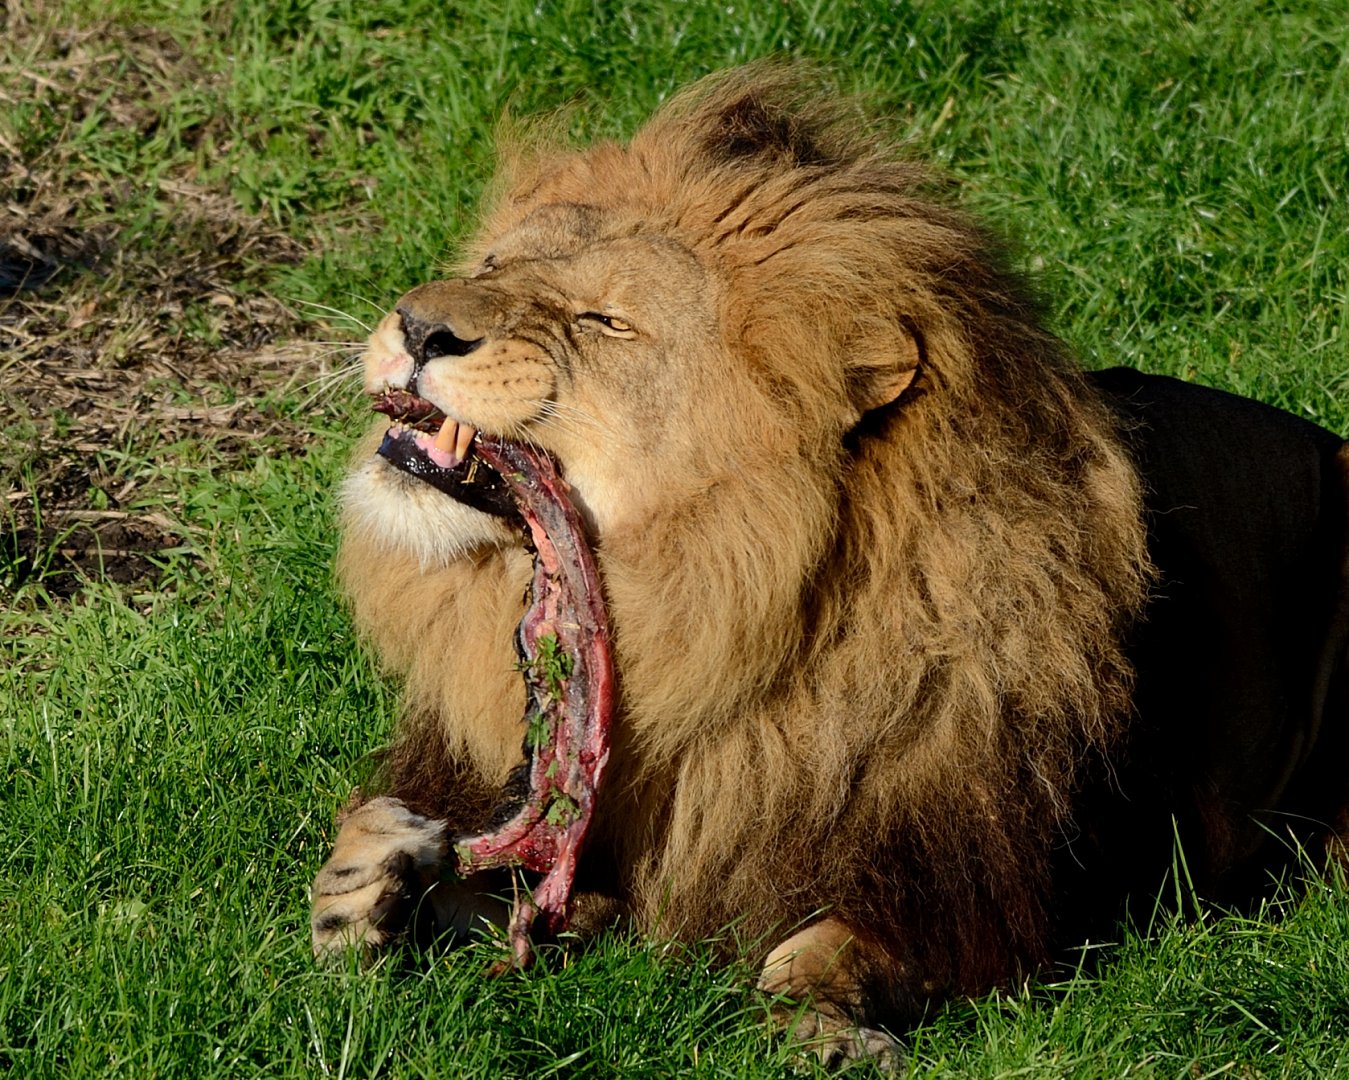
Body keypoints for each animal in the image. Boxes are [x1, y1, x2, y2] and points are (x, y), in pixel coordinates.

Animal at [310, 67, 1349, 1063]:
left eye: (604, 321)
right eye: (491, 266)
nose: (416, 325)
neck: (698, 608)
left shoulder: (982, 887)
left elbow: (817, 947)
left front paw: (826, 1034)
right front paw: (367, 881)